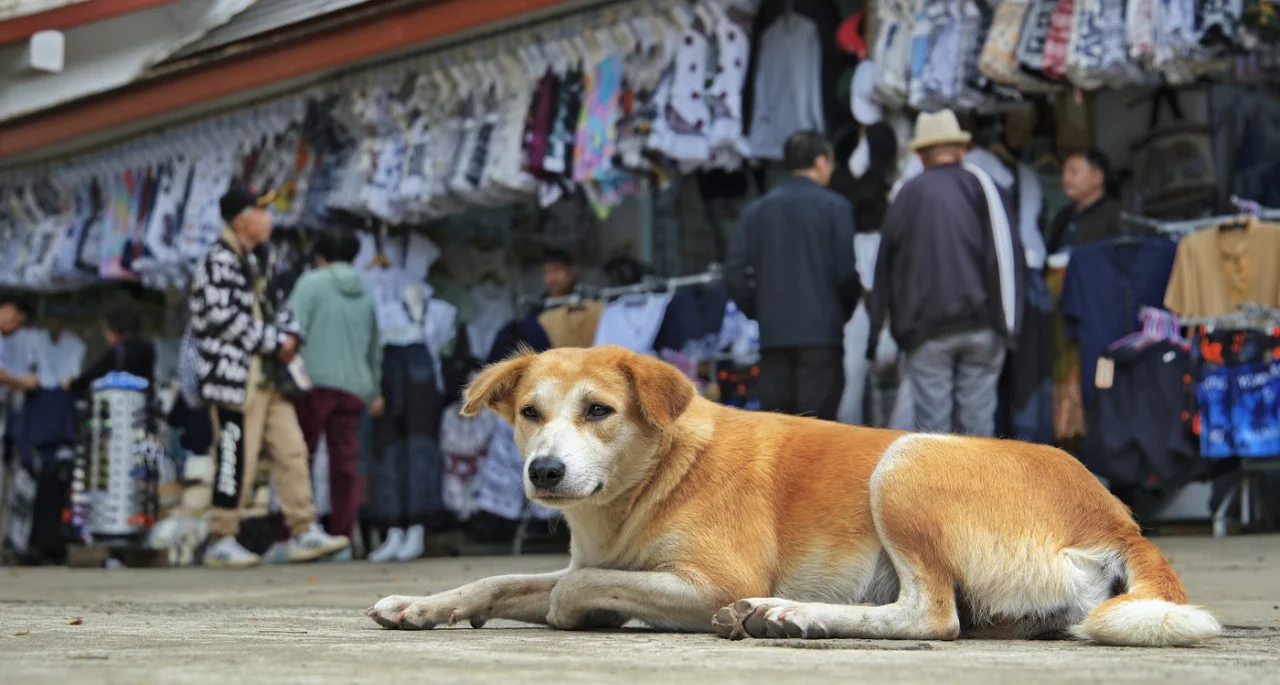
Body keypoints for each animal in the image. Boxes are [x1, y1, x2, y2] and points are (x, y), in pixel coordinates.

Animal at [368, 348, 1218, 647]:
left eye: (599, 410)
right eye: (529, 412)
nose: (544, 471)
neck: (654, 477)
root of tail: (1117, 513)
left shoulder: (712, 578)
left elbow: (568, 589)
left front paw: (581, 611)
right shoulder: (602, 555)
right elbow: (504, 577)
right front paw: (422, 604)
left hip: (905, 461)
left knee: (930, 616)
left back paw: (789, 614)